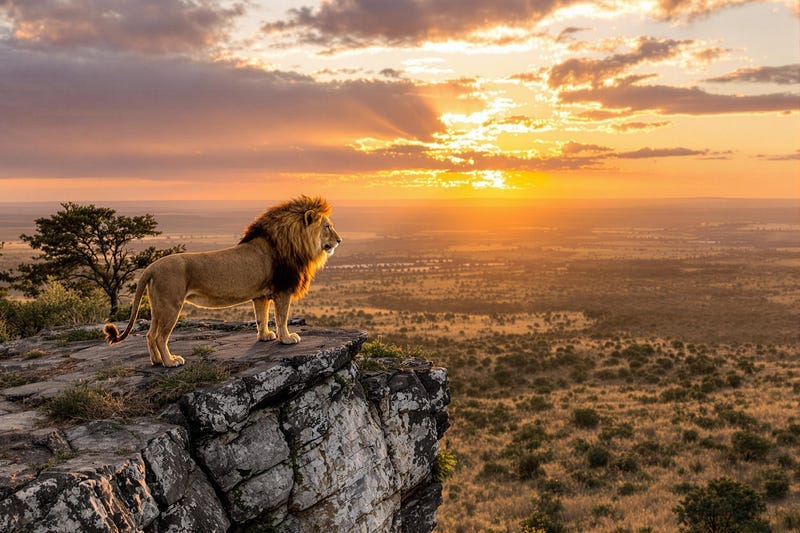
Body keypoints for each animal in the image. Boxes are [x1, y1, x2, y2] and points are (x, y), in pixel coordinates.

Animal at [103, 196, 341, 367]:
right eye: (327, 227)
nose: (340, 240)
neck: (295, 242)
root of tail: (150, 268)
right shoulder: (283, 290)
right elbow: (282, 318)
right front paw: (287, 338)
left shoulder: (261, 295)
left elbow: (261, 318)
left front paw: (264, 336)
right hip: (171, 305)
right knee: (160, 337)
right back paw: (170, 362)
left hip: (158, 307)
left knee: (150, 334)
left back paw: (156, 361)